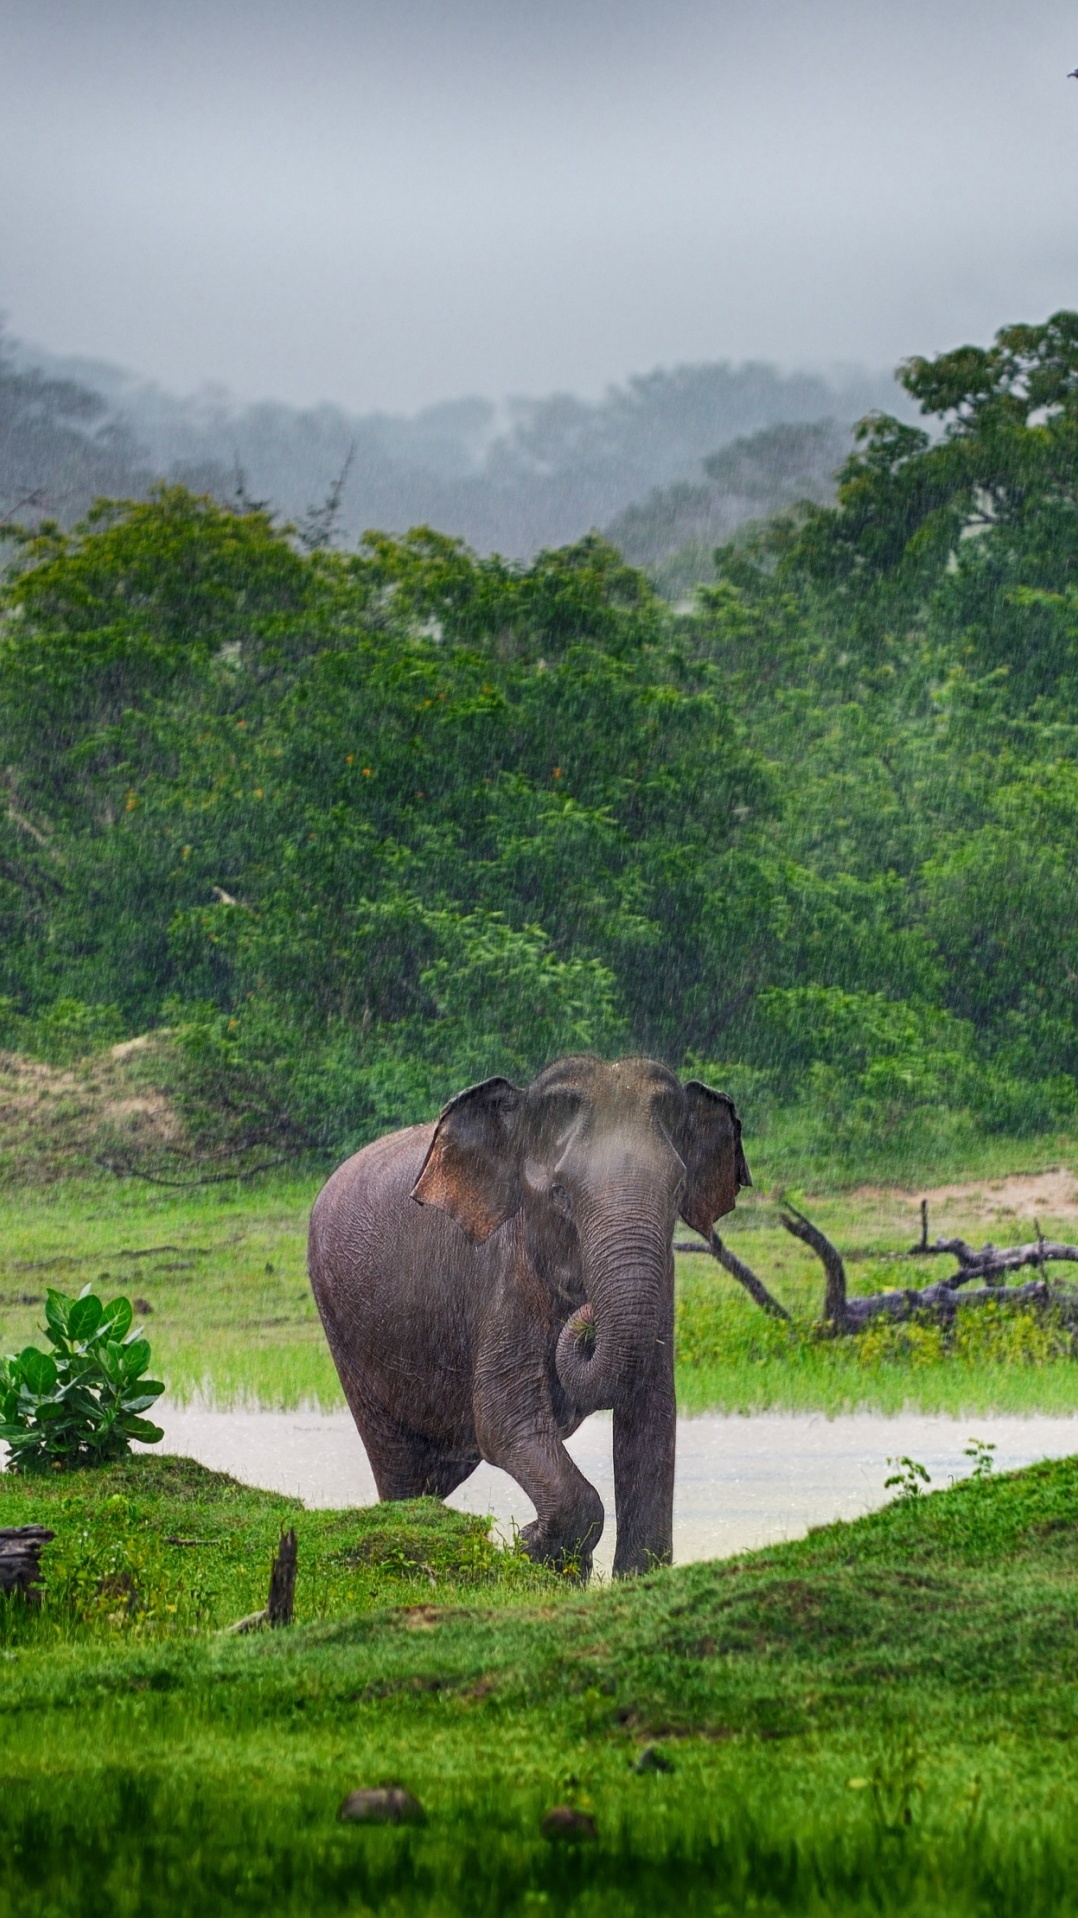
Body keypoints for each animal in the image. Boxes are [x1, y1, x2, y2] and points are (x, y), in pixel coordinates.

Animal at [308, 1058, 748, 1580]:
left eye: (678, 1189)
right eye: (559, 1192)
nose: (586, 1315)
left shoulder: (664, 1281)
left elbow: (651, 1418)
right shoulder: (504, 1274)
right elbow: (503, 1419)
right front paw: (531, 1545)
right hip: (342, 1326)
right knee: (400, 1465)